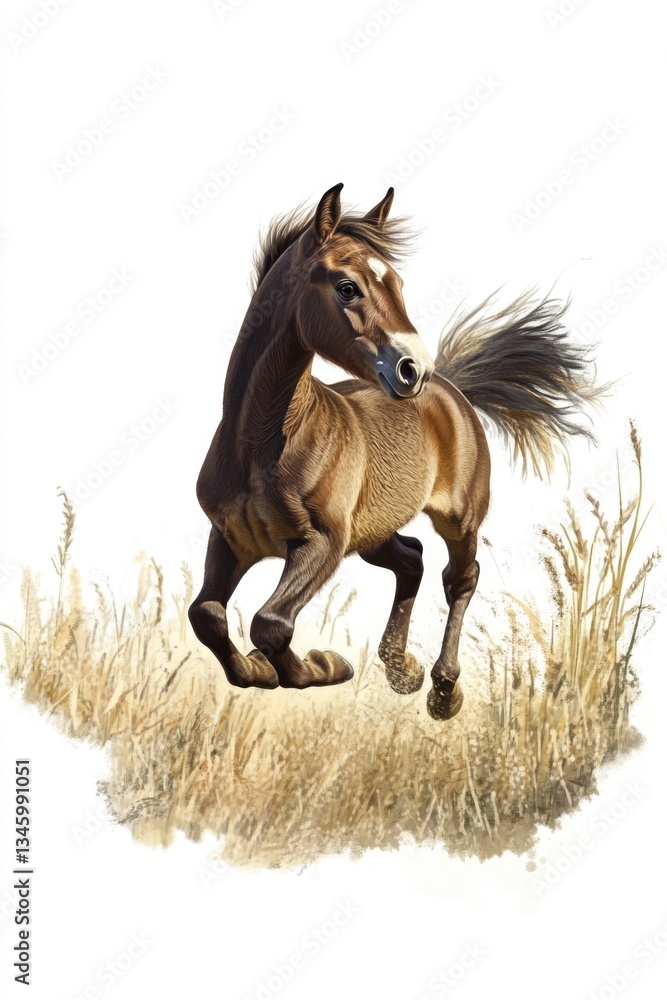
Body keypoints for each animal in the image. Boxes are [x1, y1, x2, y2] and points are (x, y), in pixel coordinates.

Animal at [189, 183, 598, 720]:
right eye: (347, 287)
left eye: (398, 283)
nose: (412, 370)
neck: (262, 445)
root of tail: (453, 388)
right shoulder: (230, 537)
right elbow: (207, 615)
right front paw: (259, 670)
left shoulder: (322, 544)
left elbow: (270, 622)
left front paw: (323, 666)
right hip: (374, 532)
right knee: (412, 559)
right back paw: (402, 669)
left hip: (458, 520)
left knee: (459, 577)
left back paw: (443, 690)